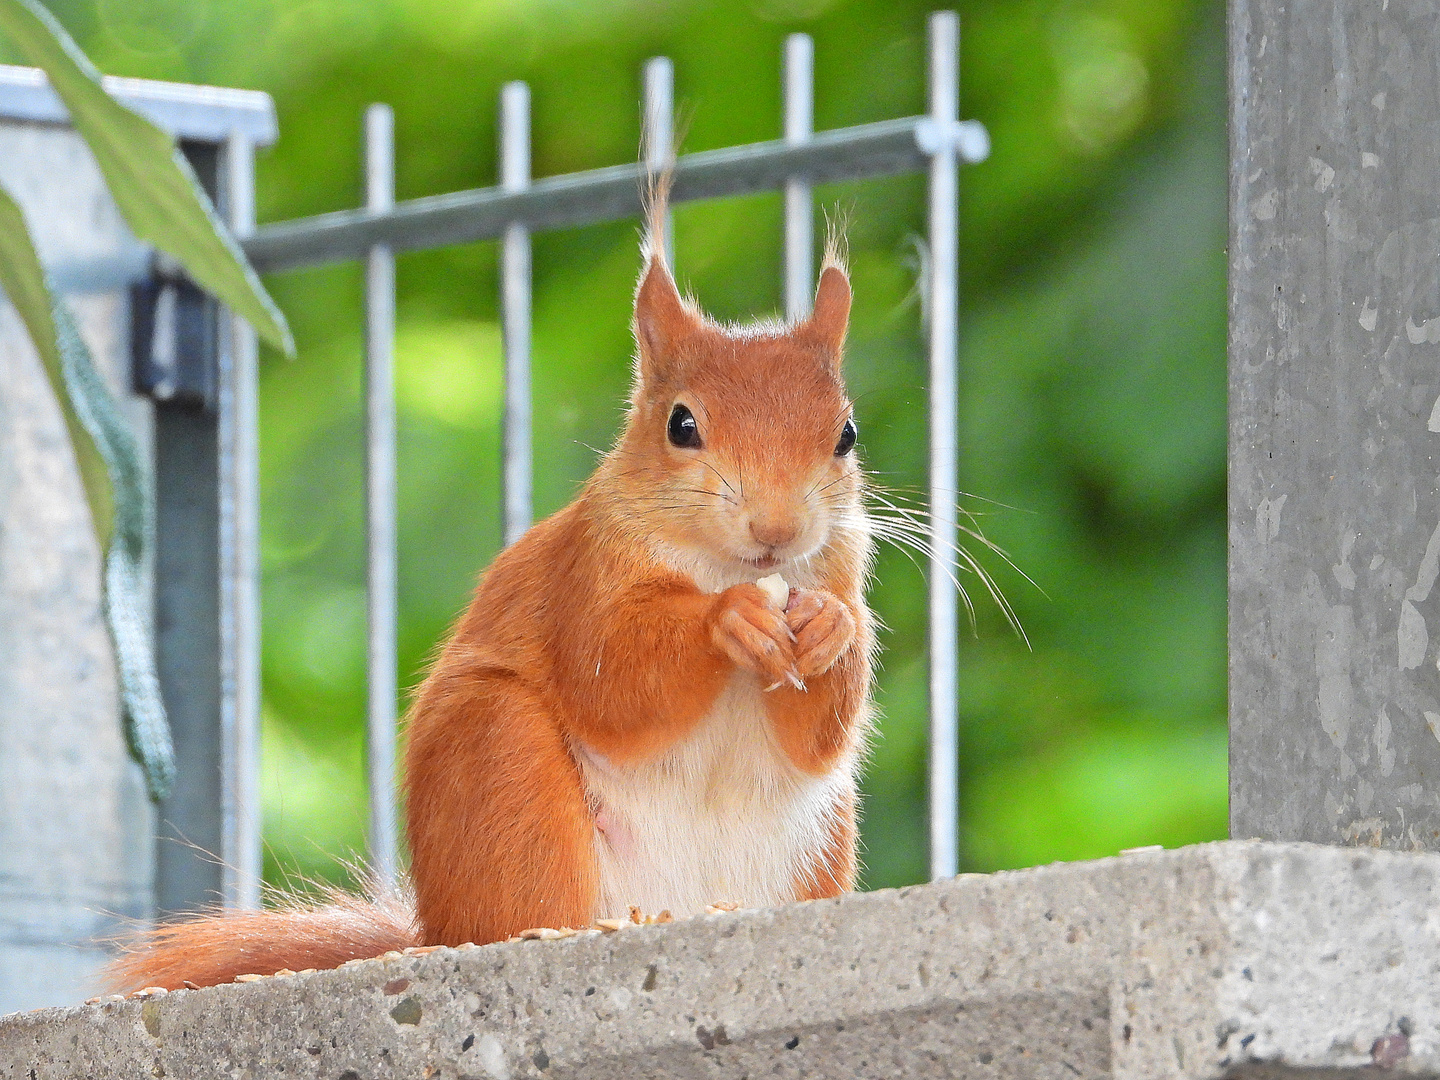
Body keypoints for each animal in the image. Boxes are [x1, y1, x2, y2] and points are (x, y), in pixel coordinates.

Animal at [106, 203, 869, 996]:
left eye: (846, 433)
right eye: (681, 425)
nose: (777, 531)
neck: (723, 568)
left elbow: (819, 732)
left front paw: (831, 627)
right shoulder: (582, 581)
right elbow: (614, 681)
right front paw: (731, 619)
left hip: (821, 837)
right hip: (504, 767)